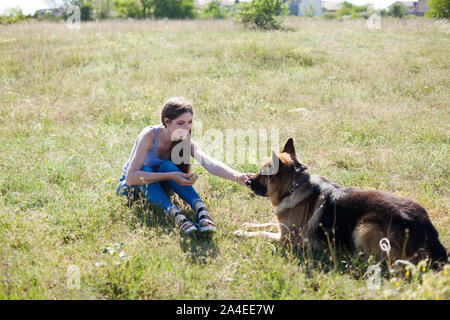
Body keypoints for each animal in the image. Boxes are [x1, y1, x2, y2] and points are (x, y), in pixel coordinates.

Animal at [237, 139, 448, 268]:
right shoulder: (282, 227)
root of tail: (428, 230)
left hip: (364, 227)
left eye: (261, 174)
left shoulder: (285, 239)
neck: (294, 187)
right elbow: (266, 224)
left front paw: (242, 232)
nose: (247, 182)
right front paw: (248, 224)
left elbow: (263, 233)